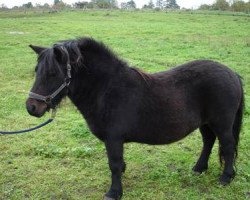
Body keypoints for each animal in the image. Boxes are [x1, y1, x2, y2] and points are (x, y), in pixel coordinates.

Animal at [26, 38, 243, 200]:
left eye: (53, 73)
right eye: (36, 70)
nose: (31, 107)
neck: (106, 89)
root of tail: (232, 73)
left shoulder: (113, 138)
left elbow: (113, 163)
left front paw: (114, 192)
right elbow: (118, 163)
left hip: (222, 124)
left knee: (228, 146)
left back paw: (225, 178)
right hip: (206, 123)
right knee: (208, 141)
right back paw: (199, 168)